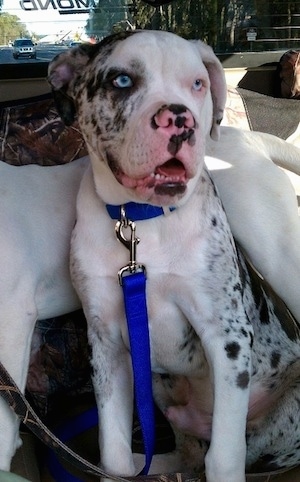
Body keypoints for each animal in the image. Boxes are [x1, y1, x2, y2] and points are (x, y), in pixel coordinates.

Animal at [45, 31, 300, 482]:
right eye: (122, 81)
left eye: (197, 83)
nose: (180, 120)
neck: (141, 223)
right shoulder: (107, 344)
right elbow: (113, 455)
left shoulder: (226, 337)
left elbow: (225, 458)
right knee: (185, 455)